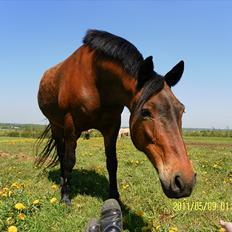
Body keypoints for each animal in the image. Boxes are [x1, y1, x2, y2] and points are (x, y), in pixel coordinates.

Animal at [36, 29, 196, 205]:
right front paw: (65, 196)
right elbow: (69, 160)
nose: (184, 181)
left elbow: (112, 162)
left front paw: (114, 195)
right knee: (61, 153)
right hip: (57, 126)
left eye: (182, 110)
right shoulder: (71, 124)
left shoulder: (112, 127)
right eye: (145, 112)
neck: (95, 81)